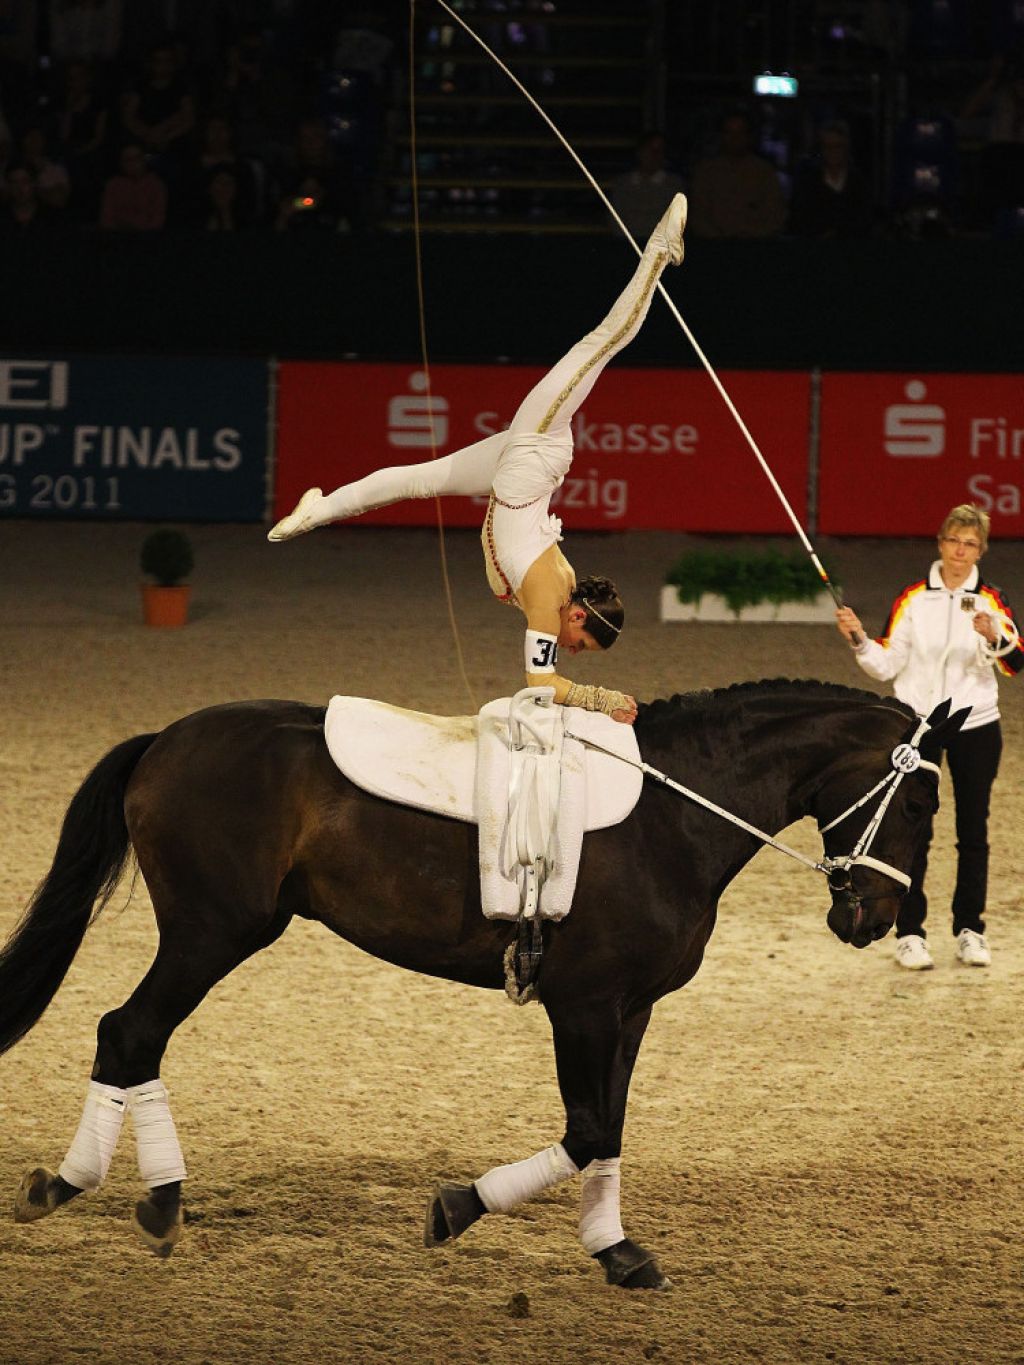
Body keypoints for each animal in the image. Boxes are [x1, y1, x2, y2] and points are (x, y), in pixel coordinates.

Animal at [2, 682, 961, 1288]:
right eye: (920, 806)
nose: (875, 917)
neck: (674, 813)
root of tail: (163, 740)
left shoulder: (631, 1009)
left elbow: (610, 1130)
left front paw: (615, 1251)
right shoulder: (583, 1005)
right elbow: (585, 1128)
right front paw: (457, 1208)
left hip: (213, 933)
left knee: (132, 1036)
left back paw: (125, 1192)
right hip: (213, 932)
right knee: (128, 1031)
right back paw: (115, 1193)